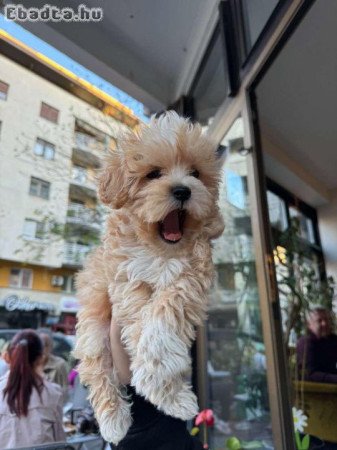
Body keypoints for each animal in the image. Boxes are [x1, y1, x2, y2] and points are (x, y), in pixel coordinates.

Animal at [75, 110, 224, 442]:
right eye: (153, 174)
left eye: (195, 173)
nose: (183, 190)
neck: (162, 251)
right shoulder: (128, 278)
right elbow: (148, 328)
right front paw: (168, 392)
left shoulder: (189, 279)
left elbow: (162, 321)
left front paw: (169, 393)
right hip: (93, 327)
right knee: (98, 368)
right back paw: (114, 420)